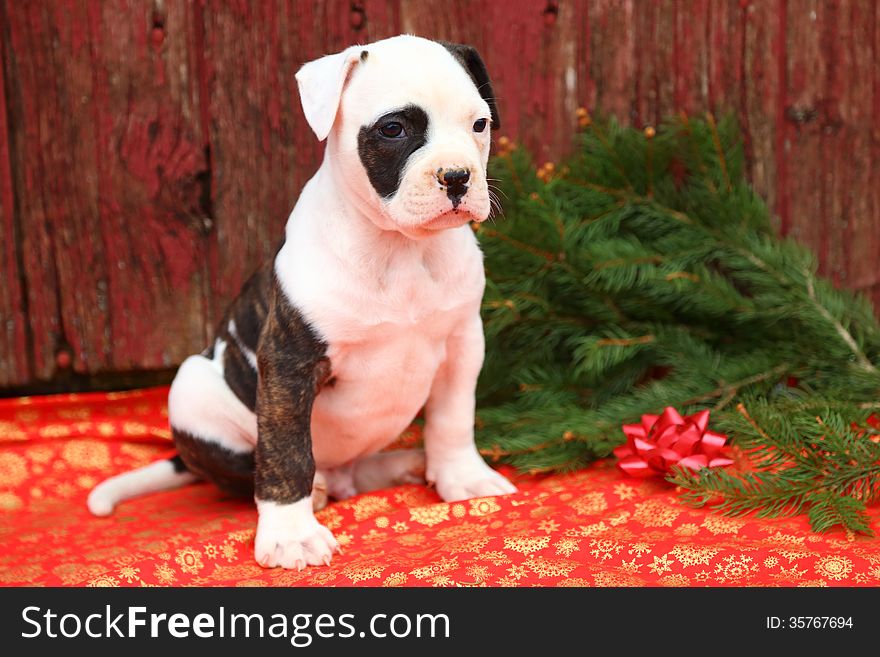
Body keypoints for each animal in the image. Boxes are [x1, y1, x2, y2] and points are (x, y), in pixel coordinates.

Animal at [87, 36, 516, 568]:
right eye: (393, 129)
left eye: (479, 124)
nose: (458, 177)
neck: (399, 249)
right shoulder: (289, 362)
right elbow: (286, 449)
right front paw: (291, 533)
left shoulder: (462, 344)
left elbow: (453, 419)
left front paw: (463, 477)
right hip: (191, 387)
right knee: (259, 470)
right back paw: (319, 490)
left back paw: (405, 464)